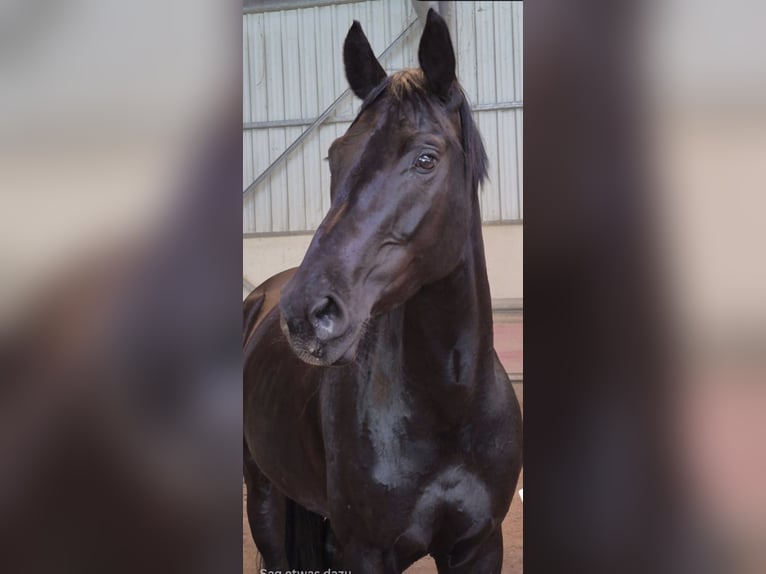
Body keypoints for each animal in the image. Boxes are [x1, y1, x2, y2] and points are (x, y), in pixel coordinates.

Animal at [243, 9, 522, 572]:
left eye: (425, 159)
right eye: (334, 156)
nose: (306, 314)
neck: (449, 410)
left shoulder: (481, 545)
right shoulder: (367, 552)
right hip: (260, 492)